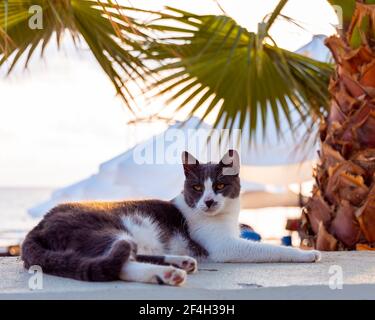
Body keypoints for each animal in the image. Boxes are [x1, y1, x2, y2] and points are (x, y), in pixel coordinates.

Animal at [21, 151, 320, 286]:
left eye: (220, 186)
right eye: (197, 187)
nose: (208, 201)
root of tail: (37, 227)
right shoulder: (226, 247)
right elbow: (272, 248)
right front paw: (308, 253)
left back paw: (180, 262)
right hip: (104, 229)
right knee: (119, 261)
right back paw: (167, 273)